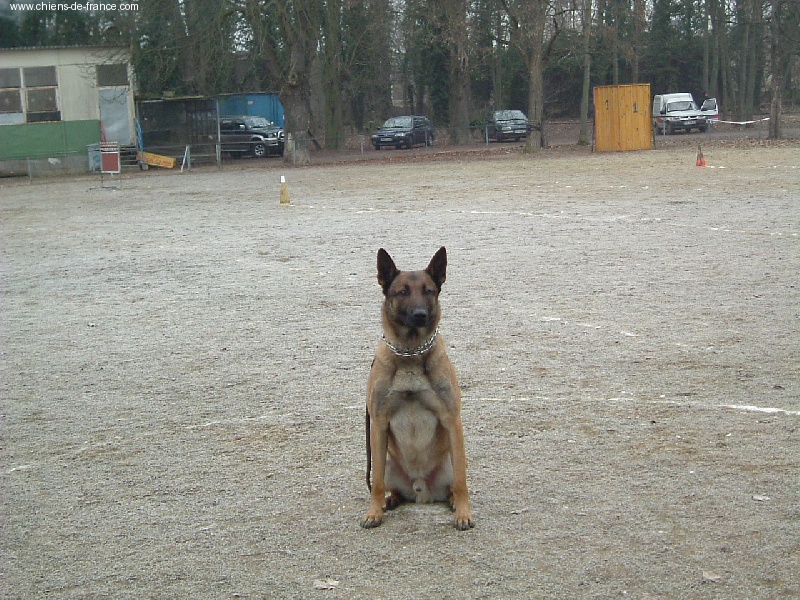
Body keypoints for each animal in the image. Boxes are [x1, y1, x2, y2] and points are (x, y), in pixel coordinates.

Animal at [364, 247, 476, 528]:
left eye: (429, 291)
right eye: (402, 292)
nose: (419, 315)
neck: (410, 352)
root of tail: (421, 490)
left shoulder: (452, 420)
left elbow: (462, 483)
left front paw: (464, 513)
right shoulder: (378, 424)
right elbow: (376, 483)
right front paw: (373, 512)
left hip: (452, 458)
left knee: (454, 485)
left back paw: (452, 502)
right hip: (386, 460)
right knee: (387, 485)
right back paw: (389, 501)